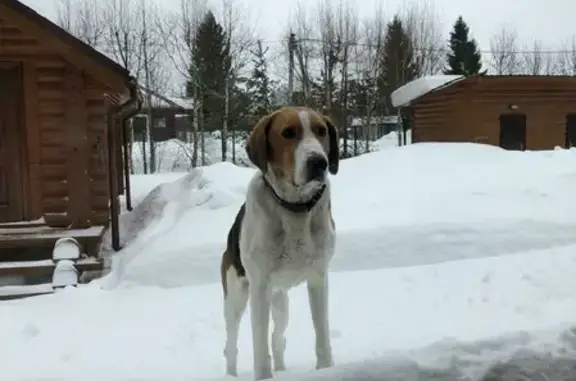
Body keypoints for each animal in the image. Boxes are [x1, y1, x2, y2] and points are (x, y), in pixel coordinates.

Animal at [219, 105, 338, 378]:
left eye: (321, 131)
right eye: (288, 133)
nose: (319, 162)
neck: (295, 207)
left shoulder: (318, 278)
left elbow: (322, 335)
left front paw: (326, 369)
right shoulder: (259, 287)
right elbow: (260, 348)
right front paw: (264, 376)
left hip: (281, 301)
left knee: (278, 337)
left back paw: (282, 368)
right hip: (236, 297)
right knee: (231, 343)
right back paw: (231, 374)